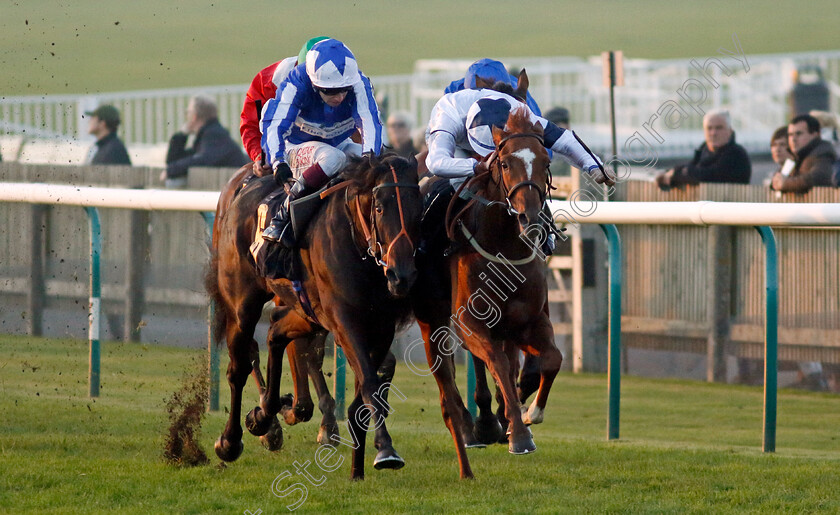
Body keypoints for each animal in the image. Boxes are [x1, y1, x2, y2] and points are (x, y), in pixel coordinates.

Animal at [210, 154, 420, 480]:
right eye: (380, 207)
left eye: (418, 208)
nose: (403, 275)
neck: (357, 243)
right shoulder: (345, 321)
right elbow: (368, 380)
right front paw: (385, 449)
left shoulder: (381, 326)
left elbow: (373, 376)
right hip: (242, 303)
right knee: (240, 365)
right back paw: (232, 441)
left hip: (306, 311)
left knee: (275, 333)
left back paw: (266, 413)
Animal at [414, 108, 564, 480]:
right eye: (506, 163)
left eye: (545, 161)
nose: (529, 217)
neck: (504, 247)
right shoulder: (470, 322)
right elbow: (496, 360)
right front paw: (519, 435)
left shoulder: (529, 320)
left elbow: (551, 359)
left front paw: (528, 413)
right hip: (432, 315)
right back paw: (472, 426)